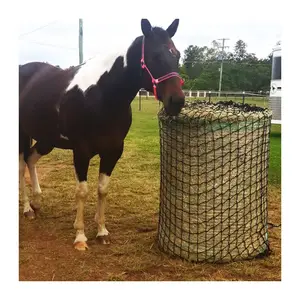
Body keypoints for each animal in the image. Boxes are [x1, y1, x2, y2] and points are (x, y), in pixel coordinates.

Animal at [19, 17, 185, 250]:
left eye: (176, 54)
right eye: (155, 56)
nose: (177, 101)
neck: (101, 96)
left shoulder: (113, 151)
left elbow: (102, 189)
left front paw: (101, 231)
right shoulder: (81, 151)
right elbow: (82, 191)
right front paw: (80, 237)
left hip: (46, 138)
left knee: (31, 159)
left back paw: (36, 202)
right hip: (22, 134)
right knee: (21, 165)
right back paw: (27, 209)